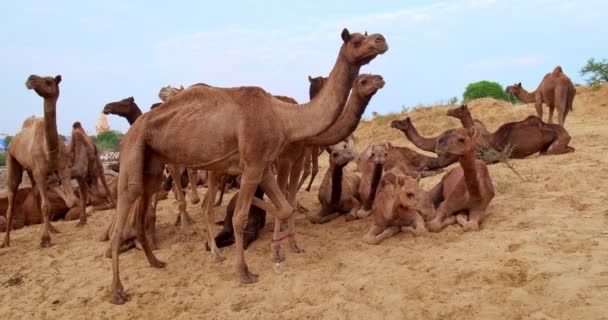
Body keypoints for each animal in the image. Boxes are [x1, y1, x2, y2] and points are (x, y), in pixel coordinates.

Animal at [108, 28, 390, 304]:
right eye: (356, 41)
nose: (381, 40)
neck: (285, 118)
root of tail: (132, 129)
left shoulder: (264, 165)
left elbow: (285, 207)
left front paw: (285, 243)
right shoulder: (258, 163)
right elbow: (241, 217)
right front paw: (246, 271)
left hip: (154, 164)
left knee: (148, 202)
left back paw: (156, 261)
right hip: (134, 152)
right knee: (126, 209)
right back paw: (118, 290)